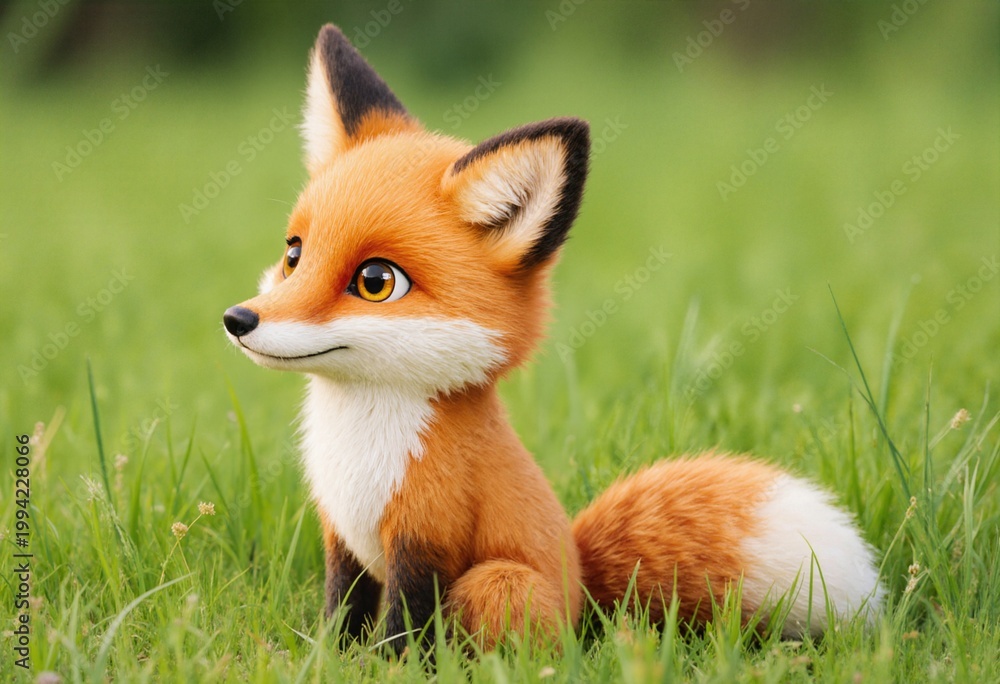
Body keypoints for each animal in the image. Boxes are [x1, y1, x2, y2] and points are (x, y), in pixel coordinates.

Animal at [222, 24, 885, 653]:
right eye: (294, 254)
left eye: (376, 281)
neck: (360, 445)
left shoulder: (427, 536)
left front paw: (389, 669)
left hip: (495, 582)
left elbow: (403, 628)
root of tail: (582, 592)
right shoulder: (342, 538)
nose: (238, 319)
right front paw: (328, 658)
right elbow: (344, 612)